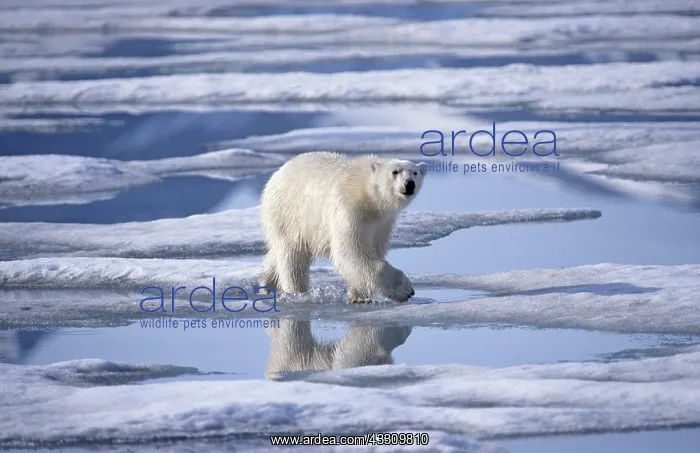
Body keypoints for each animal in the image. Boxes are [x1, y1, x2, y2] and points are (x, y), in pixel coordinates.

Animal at [259, 152, 427, 304]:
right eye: (395, 171)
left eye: (415, 172)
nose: (409, 184)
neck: (367, 194)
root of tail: (277, 174)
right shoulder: (350, 210)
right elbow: (351, 250)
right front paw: (405, 289)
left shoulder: (382, 223)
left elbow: (373, 249)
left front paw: (360, 295)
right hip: (289, 214)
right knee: (293, 256)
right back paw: (297, 292)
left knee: (278, 253)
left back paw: (268, 284)